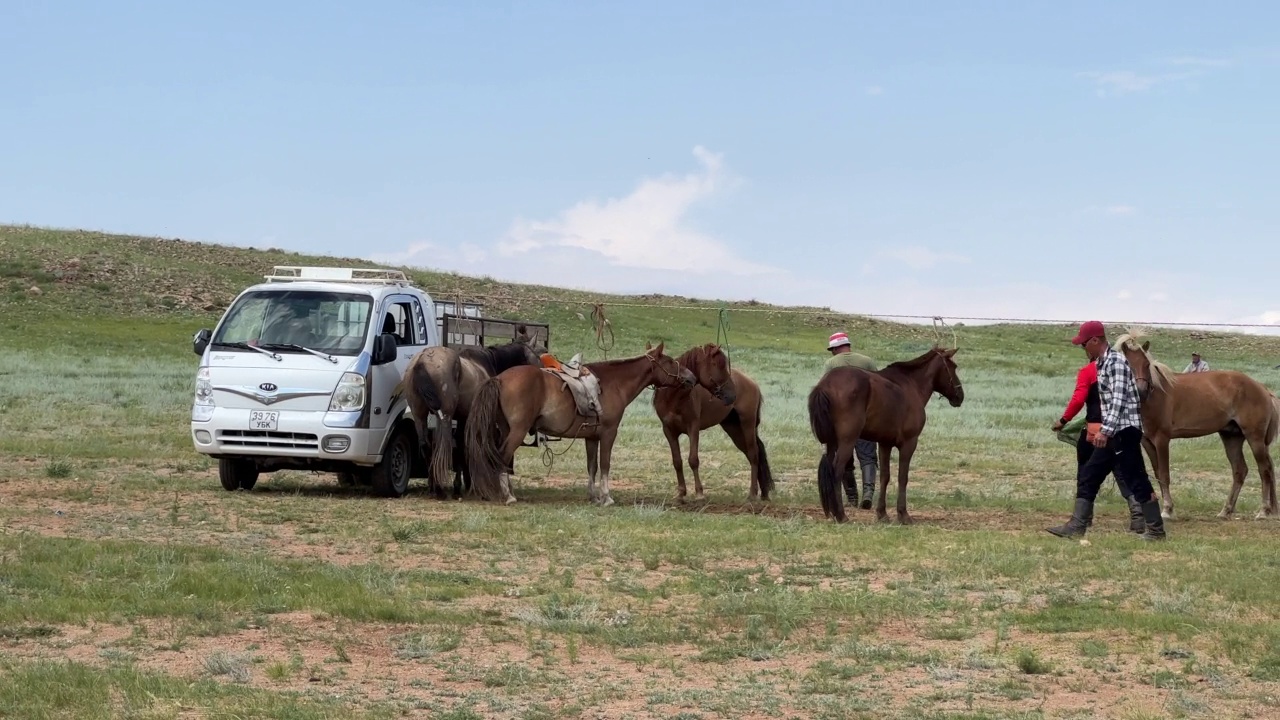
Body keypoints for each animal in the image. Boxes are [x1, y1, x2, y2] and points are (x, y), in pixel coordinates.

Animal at [404, 327, 545, 497]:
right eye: (541, 354)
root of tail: (422, 361)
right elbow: (468, 446)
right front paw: (466, 484)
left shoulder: (463, 417)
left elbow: (461, 445)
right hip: (445, 416)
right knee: (442, 445)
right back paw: (439, 489)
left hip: (419, 415)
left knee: (426, 445)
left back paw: (434, 486)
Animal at [465, 340, 696, 504]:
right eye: (670, 361)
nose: (691, 378)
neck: (613, 383)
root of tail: (499, 378)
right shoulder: (608, 433)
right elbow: (605, 464)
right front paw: (606, 497)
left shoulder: (591, 437)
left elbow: (591, 466)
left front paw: (593, 496)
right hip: (517, 431)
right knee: (502, 457)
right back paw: (508, 496)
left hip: (506, 430)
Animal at [655, 340, 773, 499]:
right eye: (718, 365)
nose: (732, 395)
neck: (673, 397)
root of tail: (752, 383)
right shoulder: (669, 431)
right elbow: (677, 461)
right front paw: (681, 493)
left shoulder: (693, 428)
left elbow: (693, 460)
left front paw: (699, 493)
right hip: (733, 428)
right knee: (752, 454)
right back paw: (763, 493)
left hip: (747, 424)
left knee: (754, 454)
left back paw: (752, 494)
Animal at [808, 343, 962, 520]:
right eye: (953, 367)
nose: (960, 395)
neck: (910, 385)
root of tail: (825, 384)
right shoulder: (909, 443)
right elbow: (903, 477)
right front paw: (903, 514)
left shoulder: (884, 444)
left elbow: (884, 476)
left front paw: (882, 513)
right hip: (847, 441)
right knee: (837, 470)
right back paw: (841, 515)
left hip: (832, 442)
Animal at [1111, 333, 1280, 517]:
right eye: (1127, 364)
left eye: (1147, 364)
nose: (1141, 391)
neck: (1154, 397)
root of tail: (1262, 388)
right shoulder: (1147, 442)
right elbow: (1157, 474)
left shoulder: (1162, 439)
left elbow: (1164, 474)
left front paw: (1167, 509)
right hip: (1232, 437)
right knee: (1240, 470)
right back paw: (1226, 510)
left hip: (1254, 438)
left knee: (1264, 470)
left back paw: (1263, 510)